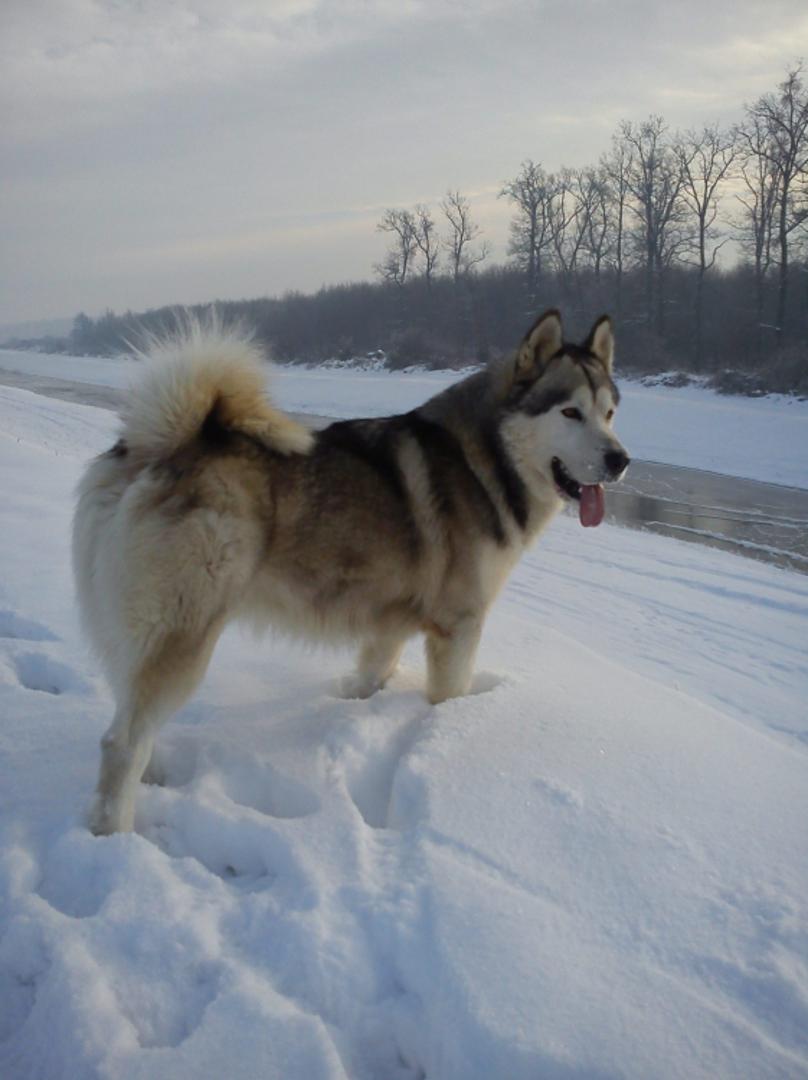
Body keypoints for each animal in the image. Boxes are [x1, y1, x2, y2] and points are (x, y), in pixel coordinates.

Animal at [73, 309, 629, 834]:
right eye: (570, 411)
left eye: (609, 413)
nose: (620, 459)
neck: (487, 458)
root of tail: (157, 443)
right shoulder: (458, 627)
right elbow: (447, 697)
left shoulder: (390, 624)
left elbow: (370, 674)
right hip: (183, 635)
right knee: (119, 741)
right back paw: (115, 832)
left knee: (129, 716)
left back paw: (151, 775)